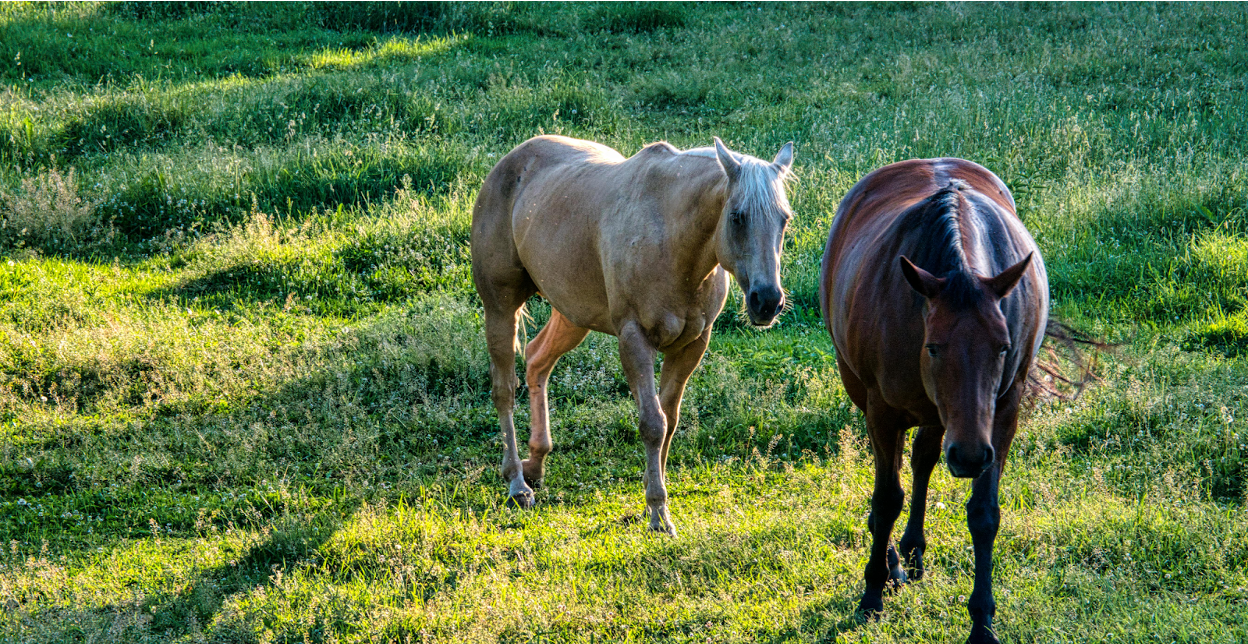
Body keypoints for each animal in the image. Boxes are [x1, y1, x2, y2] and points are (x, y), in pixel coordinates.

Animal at [472, 134, 794, 535]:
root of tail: (510, 161)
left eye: (784, 219)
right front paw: (658, 513)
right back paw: (517, 483)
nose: (768, 301)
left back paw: (537, 462)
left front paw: (653, 500)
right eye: (737, 216)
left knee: (536, 360)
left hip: (572, 315)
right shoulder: (635, 339)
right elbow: (653, 423)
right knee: (504, 390)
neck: (673, 241)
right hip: (500, 308)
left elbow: (669, 421)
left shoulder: (692, 345)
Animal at [819, 159, 1048, 643]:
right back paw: (892, 562)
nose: (969, 456)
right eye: (933, 347)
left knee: (923, 456)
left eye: (1003, 347)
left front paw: (982, 620)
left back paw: (913, 549)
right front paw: (872, 593)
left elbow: (983, 513)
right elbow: (886, 498)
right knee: (896, 472)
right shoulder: (882, 411)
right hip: (868, 395)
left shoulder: (1002, 412)